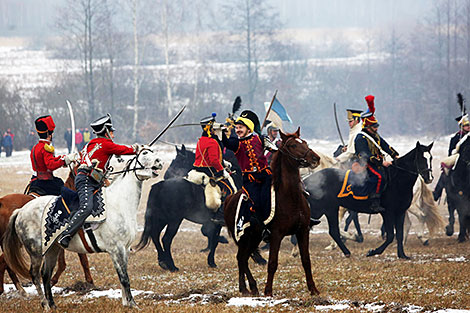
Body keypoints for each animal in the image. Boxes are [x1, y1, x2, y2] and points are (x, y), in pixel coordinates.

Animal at [2, 147, 162, 308]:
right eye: (145, 153)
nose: (159, 161)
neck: (118, 202)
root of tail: (20, 211)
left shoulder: (125, 249)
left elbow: (123, 276)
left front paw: (126, 303)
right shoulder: (116, 249)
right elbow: (124, 278)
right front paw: (133, 305)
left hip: (52, 250)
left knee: (45, 275)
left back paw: (52, 305)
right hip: (35, 252)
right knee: (35, 275)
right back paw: (45, 304)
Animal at [223, 128, 320, 296]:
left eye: (305, 142)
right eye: (293, 145)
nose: (315, 158)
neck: (290, 197)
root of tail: (230, 199)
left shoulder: (302, 231)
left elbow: (306, 260)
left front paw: (313, 289)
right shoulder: (276, 234)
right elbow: (273, 263)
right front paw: (268, 291)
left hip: (254, 237)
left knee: (243, 258)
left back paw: (250, 288)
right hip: (244, 237)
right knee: (241, 258)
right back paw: (247, 288)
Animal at [304, 141, 434, 258]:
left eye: (430, 158)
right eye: (422, 158)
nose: (430, 178)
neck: (397, 180)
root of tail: (307, 181)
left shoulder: (400, 212)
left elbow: (399, 234)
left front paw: (402, 255)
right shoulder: (388, 212)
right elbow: (390, 236)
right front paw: (373, 251)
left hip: (329, 209)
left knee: (333, 231)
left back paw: (347, 251)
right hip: (323, 209)